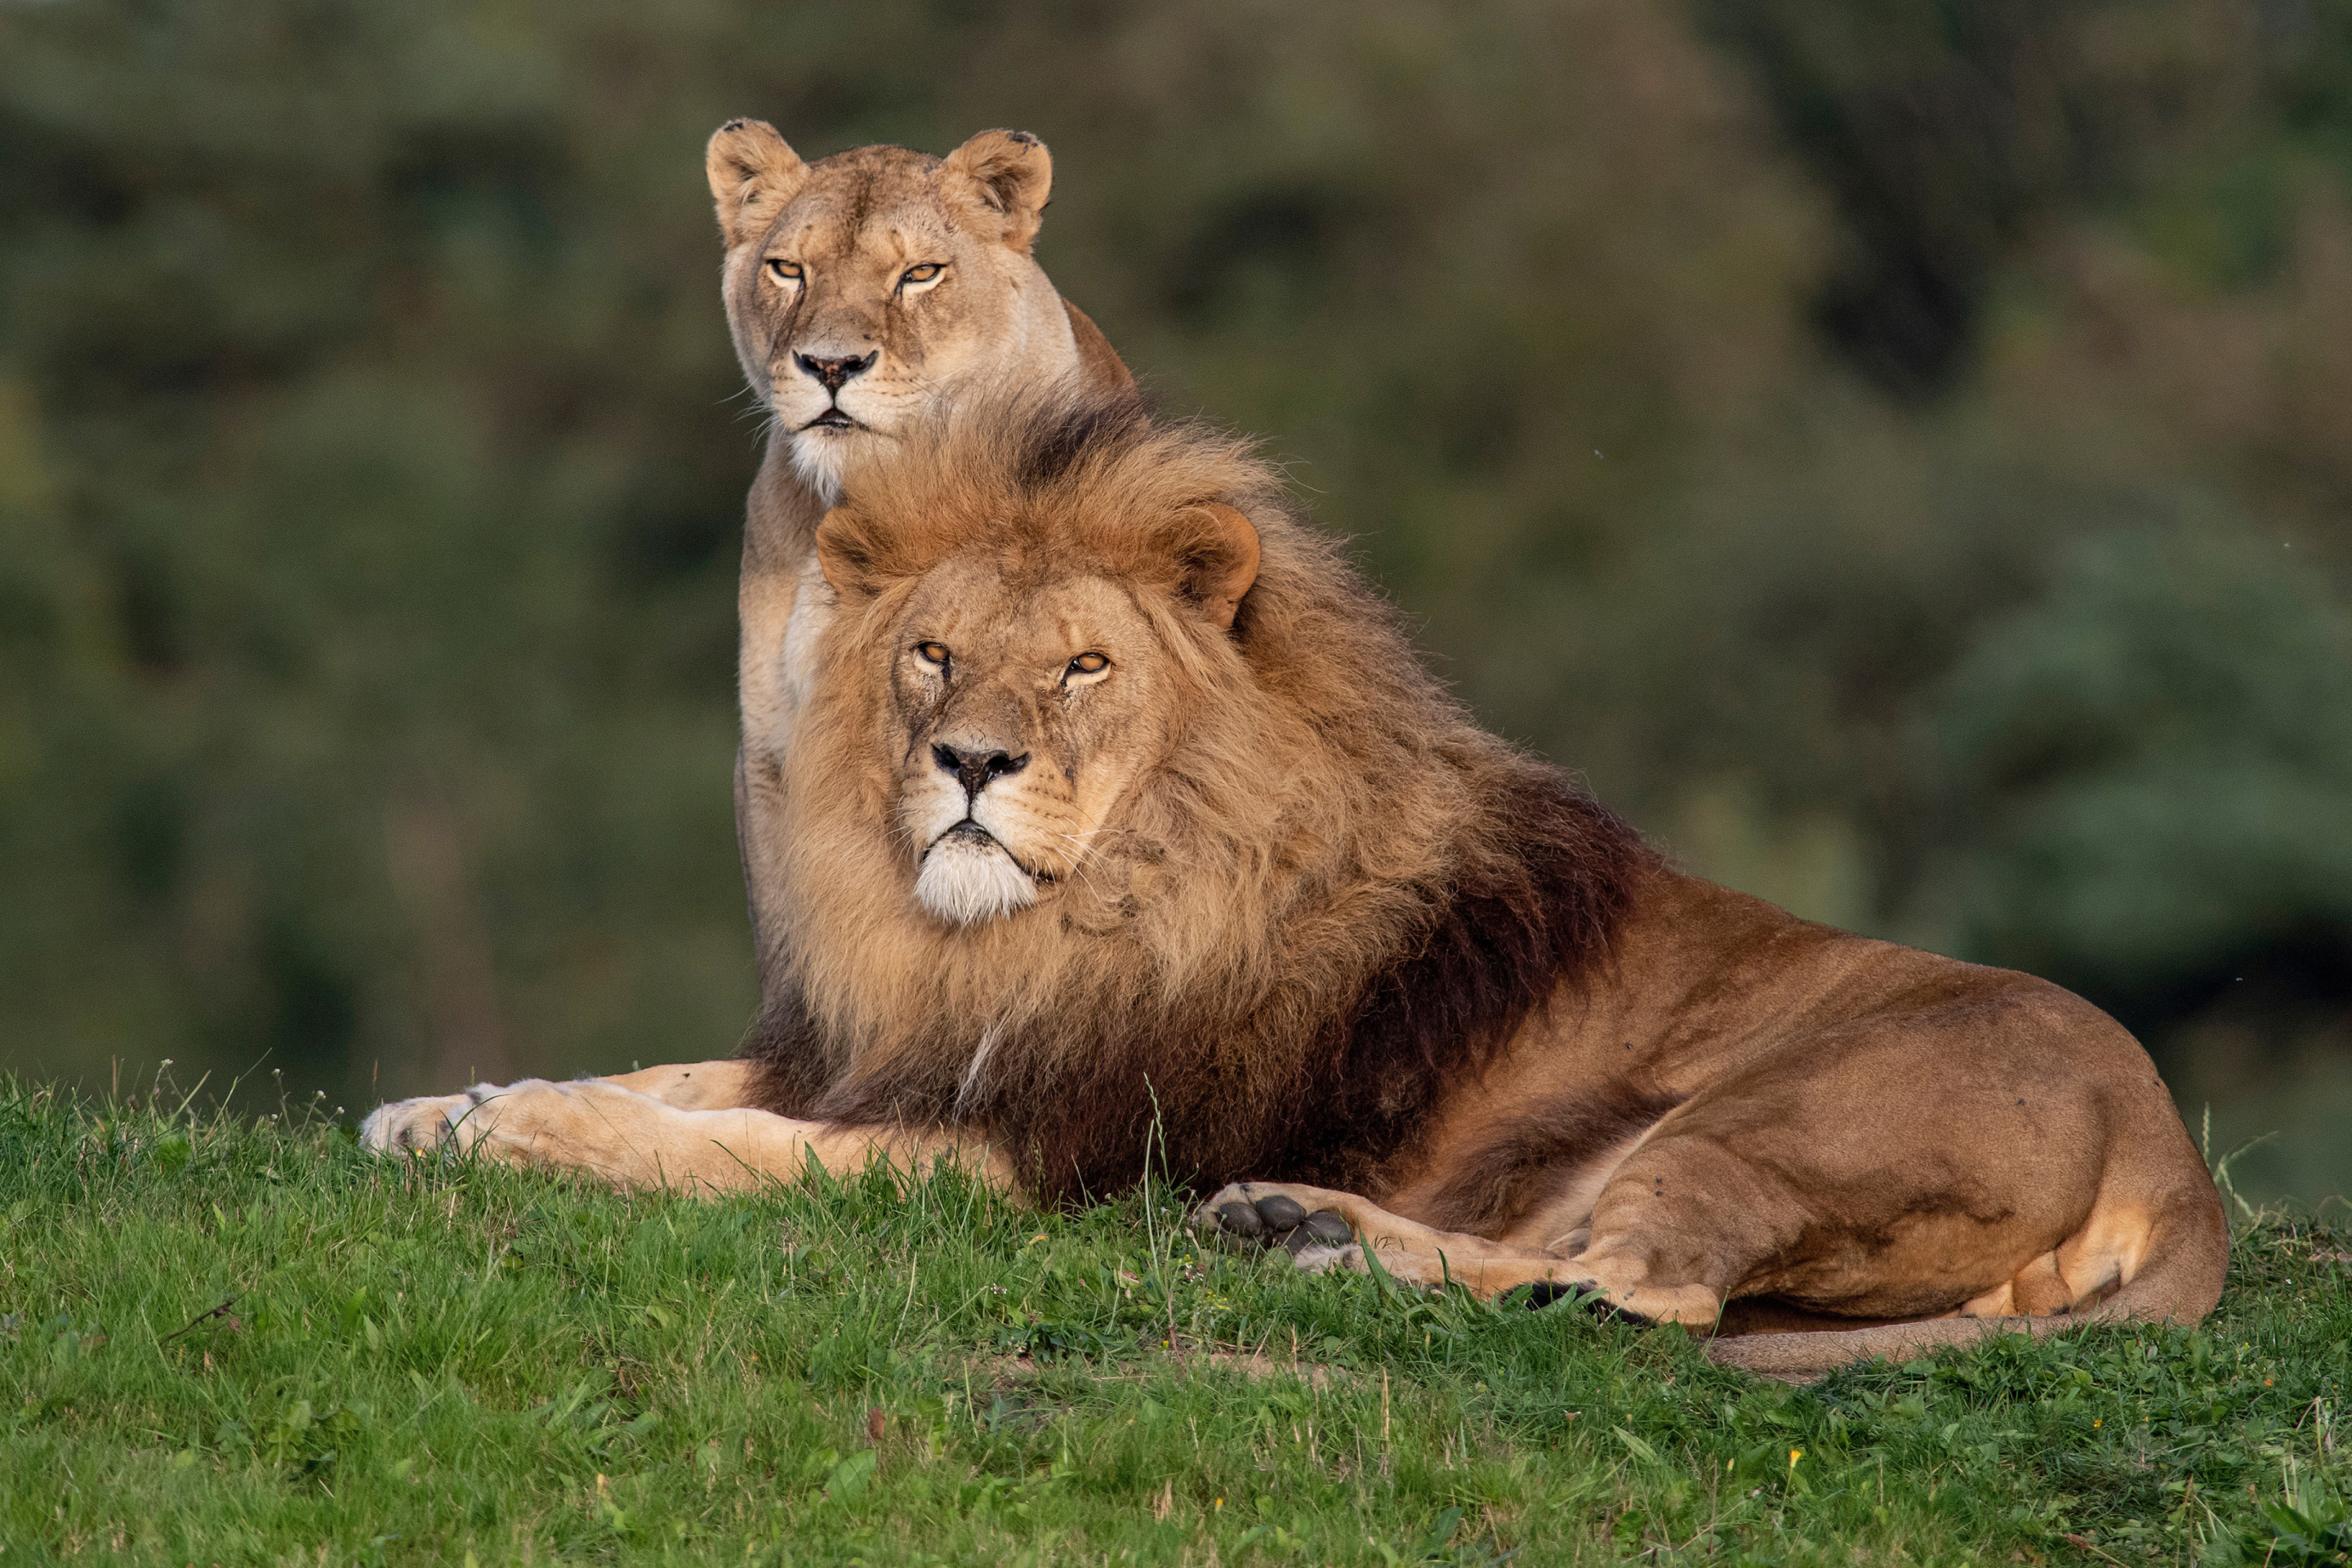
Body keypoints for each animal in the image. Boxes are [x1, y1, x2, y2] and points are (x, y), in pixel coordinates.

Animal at [362, 392, 2220, 1373]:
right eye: (934, 655)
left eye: (1086, 669)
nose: (971, 765)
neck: (1032, 934)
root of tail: (2174, 1153)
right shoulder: (893, 1052)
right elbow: (684, 1078)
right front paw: (432, 1108)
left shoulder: (1026, 1156)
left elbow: (726, 1148)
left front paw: (519, 1130)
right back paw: (1298, 1229)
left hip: (1770, 1117)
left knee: (1650, 1301)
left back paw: (1326, 1251)